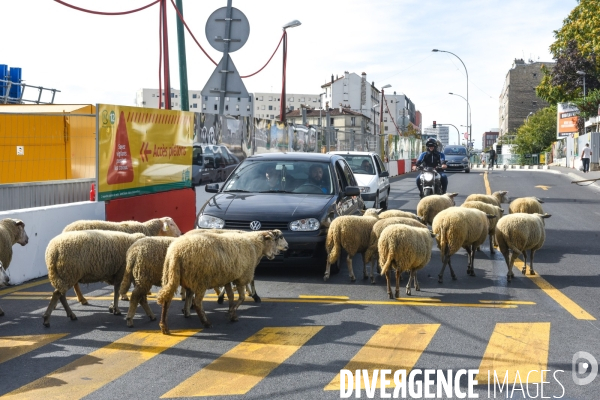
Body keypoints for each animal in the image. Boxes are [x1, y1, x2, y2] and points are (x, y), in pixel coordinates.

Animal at [155, 230, 286, 332]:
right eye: (273, 240)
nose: (277, 253)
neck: (255, 245)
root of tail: (176, 253)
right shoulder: (242, 277)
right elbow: (241, 298)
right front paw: (231, 314)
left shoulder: (228, 278)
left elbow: (231, 296)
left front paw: (231, 312)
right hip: (200, 280)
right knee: (197, 303)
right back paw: (206, 323)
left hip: (171, 276)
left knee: (167, 301)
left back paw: (164, 326)